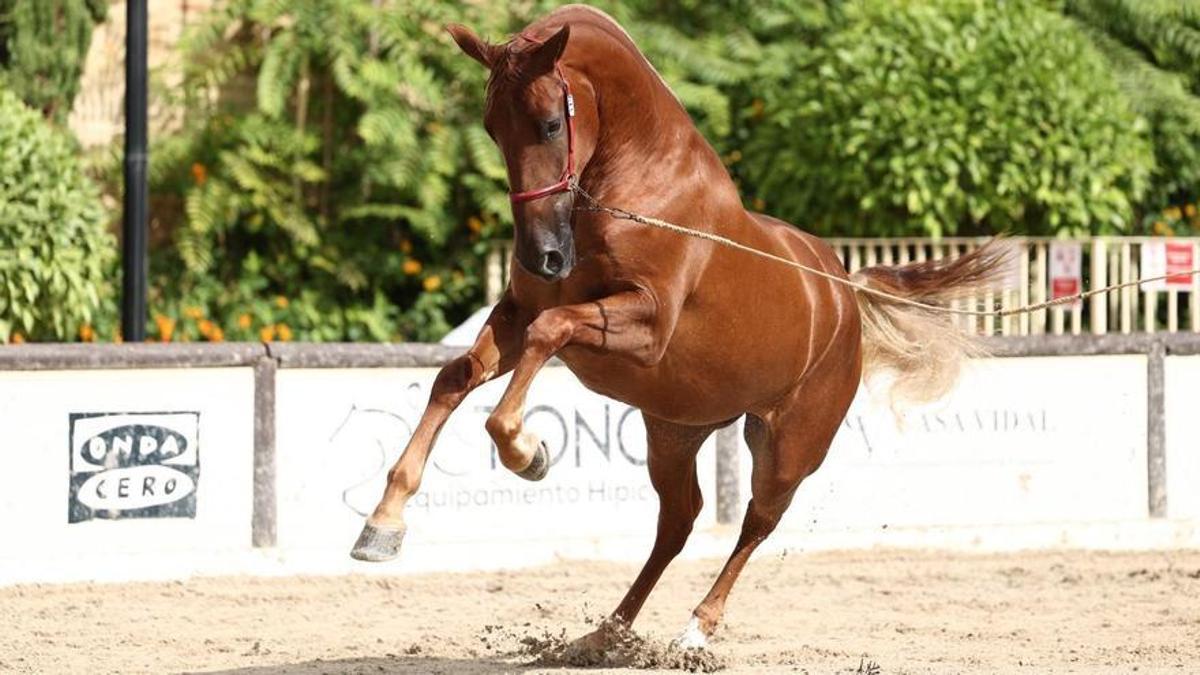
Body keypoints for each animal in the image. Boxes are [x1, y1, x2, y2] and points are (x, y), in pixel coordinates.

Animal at [350, 3, 1008, 648]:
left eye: (550, 124)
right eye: (492, 128)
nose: (542, 257)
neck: (637, 190)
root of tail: (845, 292)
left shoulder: (643, 327)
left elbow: (548, 335)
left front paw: (527, 451)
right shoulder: (518, 312)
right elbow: (457, 376)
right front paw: (382, 525)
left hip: (789, 447)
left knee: (757, 521)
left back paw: (696, 628)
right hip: (674, 431)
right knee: (678, 520)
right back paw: (607, 633)